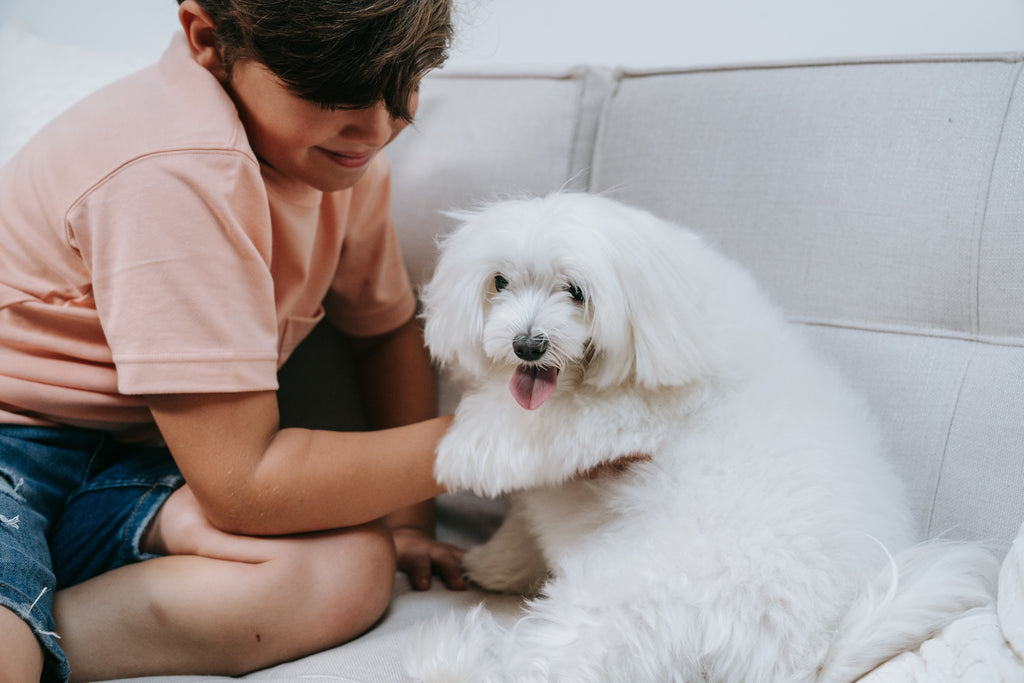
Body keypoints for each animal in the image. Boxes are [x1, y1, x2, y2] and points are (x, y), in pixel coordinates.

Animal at [409, 193, 999, 683]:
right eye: (499, 282)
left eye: (576, 292)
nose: (527, 345)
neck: (670, 316)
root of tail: (812, 651)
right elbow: (527, 521)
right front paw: (496, 562)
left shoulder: (627, 415)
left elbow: (529, 428)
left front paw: (462, 448)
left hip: (625, 600)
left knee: (545, 665)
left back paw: (444, 660)